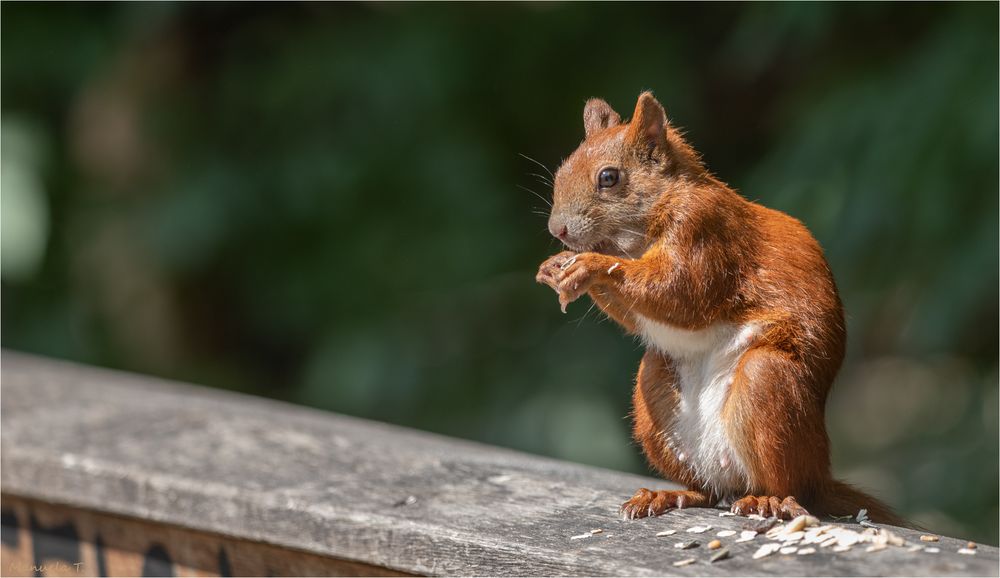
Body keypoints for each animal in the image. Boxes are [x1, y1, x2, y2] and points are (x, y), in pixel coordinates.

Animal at [540, 92, 908, 524]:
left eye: (609, 177)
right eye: (562, 169)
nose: (557, 230)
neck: (635, 239)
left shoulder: (706, 231)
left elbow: (679, 293)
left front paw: (590, 265)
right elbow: (640, 314)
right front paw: (554, 267)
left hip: (768, 386)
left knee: (786, 483)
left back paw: (769, 501)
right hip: (655, 392)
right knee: (707, 490)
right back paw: (669, 495)